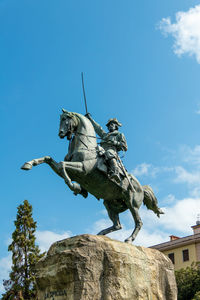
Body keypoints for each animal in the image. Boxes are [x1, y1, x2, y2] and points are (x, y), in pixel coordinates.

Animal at [21, 110, 163, 244]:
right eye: (60, 119)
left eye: (66, 119)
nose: (60, 133)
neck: (85, 146)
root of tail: (141, 187)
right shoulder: (71, 169)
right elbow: (49, 159)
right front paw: (28, 164)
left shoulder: (82, 168)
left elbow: (62, 165)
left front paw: (74, 186)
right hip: (110, 204)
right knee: (117, 225)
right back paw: (100, 234)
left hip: (132, 204)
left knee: (139, 222)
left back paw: (129, 239)